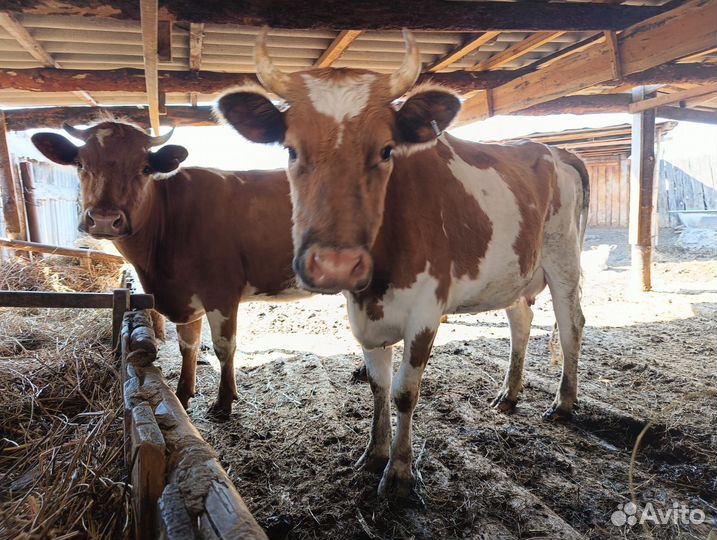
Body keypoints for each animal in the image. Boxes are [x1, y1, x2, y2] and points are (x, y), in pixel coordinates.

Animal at [31, 121, 304, 418]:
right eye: (80, 163)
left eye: (145, 168)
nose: (104, 219)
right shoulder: (186, 297)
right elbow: (188, 346)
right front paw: (182, 395)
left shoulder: (221, 291)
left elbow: (223, 347)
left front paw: (223, 403)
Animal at [216, 29, 590, 500]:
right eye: (290, 149)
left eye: (386, 150)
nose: (336, 265)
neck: (376, 284)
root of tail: (554, 150)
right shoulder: (362, 316)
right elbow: (377, 386)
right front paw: (374, 453)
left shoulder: (425, 312)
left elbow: (404, 393)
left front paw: (399, 472)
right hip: (512, 272)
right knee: (521, 320)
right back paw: (509, 394)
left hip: (564, 260)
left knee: (571, 323)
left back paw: (564, 402)